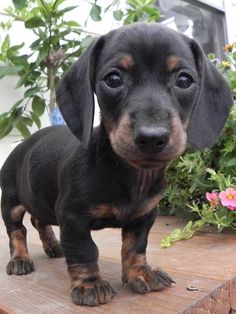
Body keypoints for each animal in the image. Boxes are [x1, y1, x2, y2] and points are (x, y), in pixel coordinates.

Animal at [0, 22, 232, 306]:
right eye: (113, 79)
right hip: (11, 201)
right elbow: (85, 251)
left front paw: (140, 273)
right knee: (17, 230)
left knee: (38, 221)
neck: (130, 174)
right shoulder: (73, 219)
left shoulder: (145, 216)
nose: (151, 137)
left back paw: (52, 245)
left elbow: (135, 247)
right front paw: (89, 284)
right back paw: (20, 258)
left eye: (184, 80)